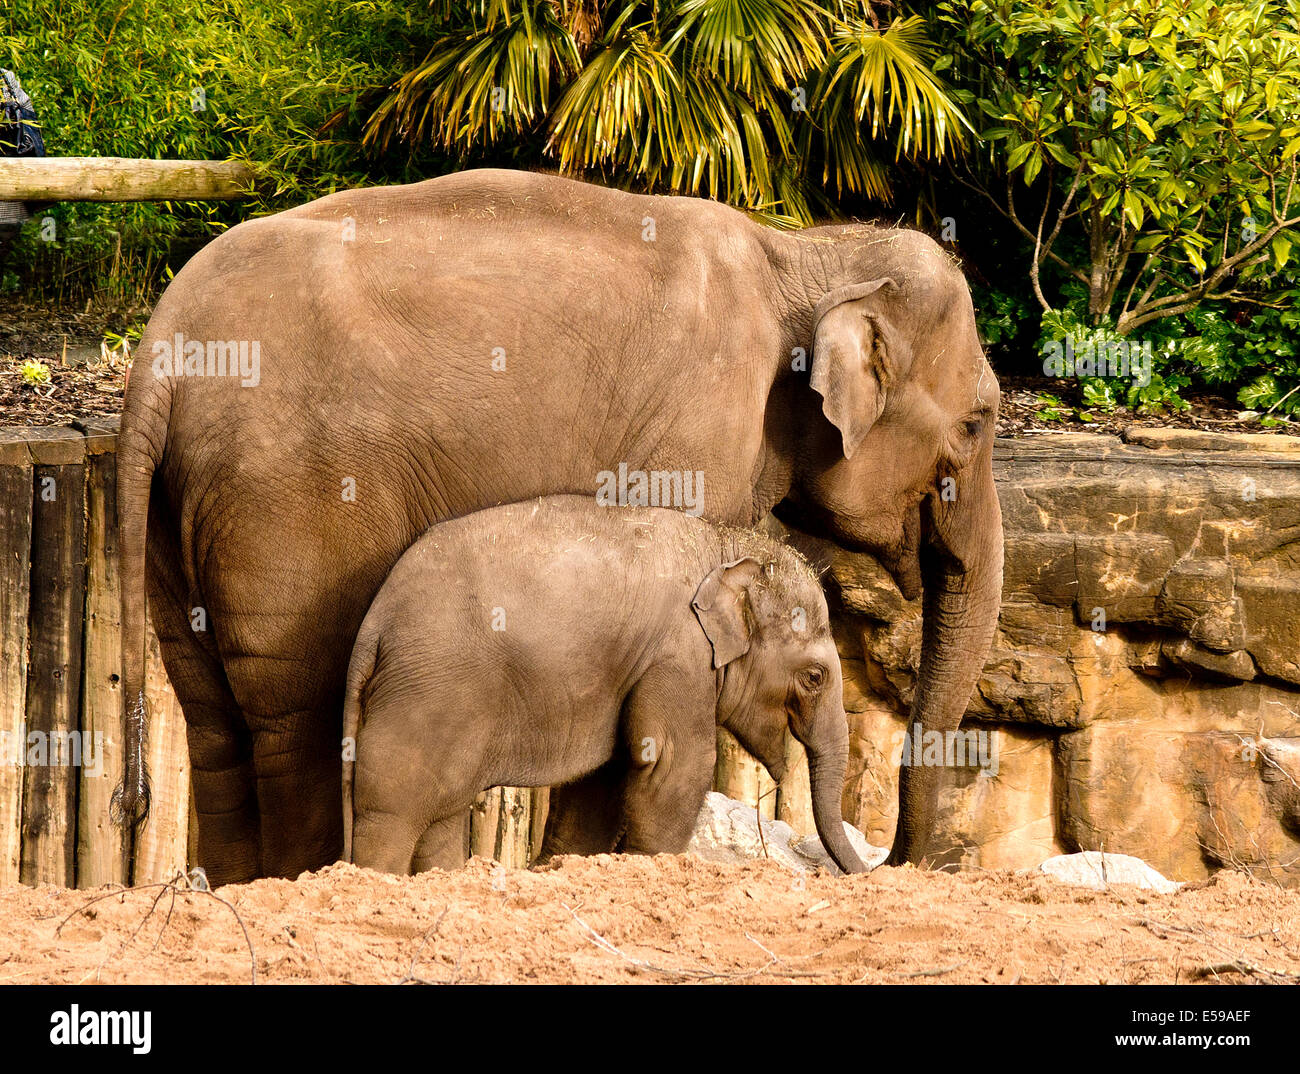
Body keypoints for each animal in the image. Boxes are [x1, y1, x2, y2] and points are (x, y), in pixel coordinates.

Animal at [340, 491, 868, 868]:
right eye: (815, 676)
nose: (865, 872)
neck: (726, 545)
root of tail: (375, 621)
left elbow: (606, 775)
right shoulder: (677, 655)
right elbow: (673, 763)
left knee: (443, 814)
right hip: (429, 692)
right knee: (394, 810)